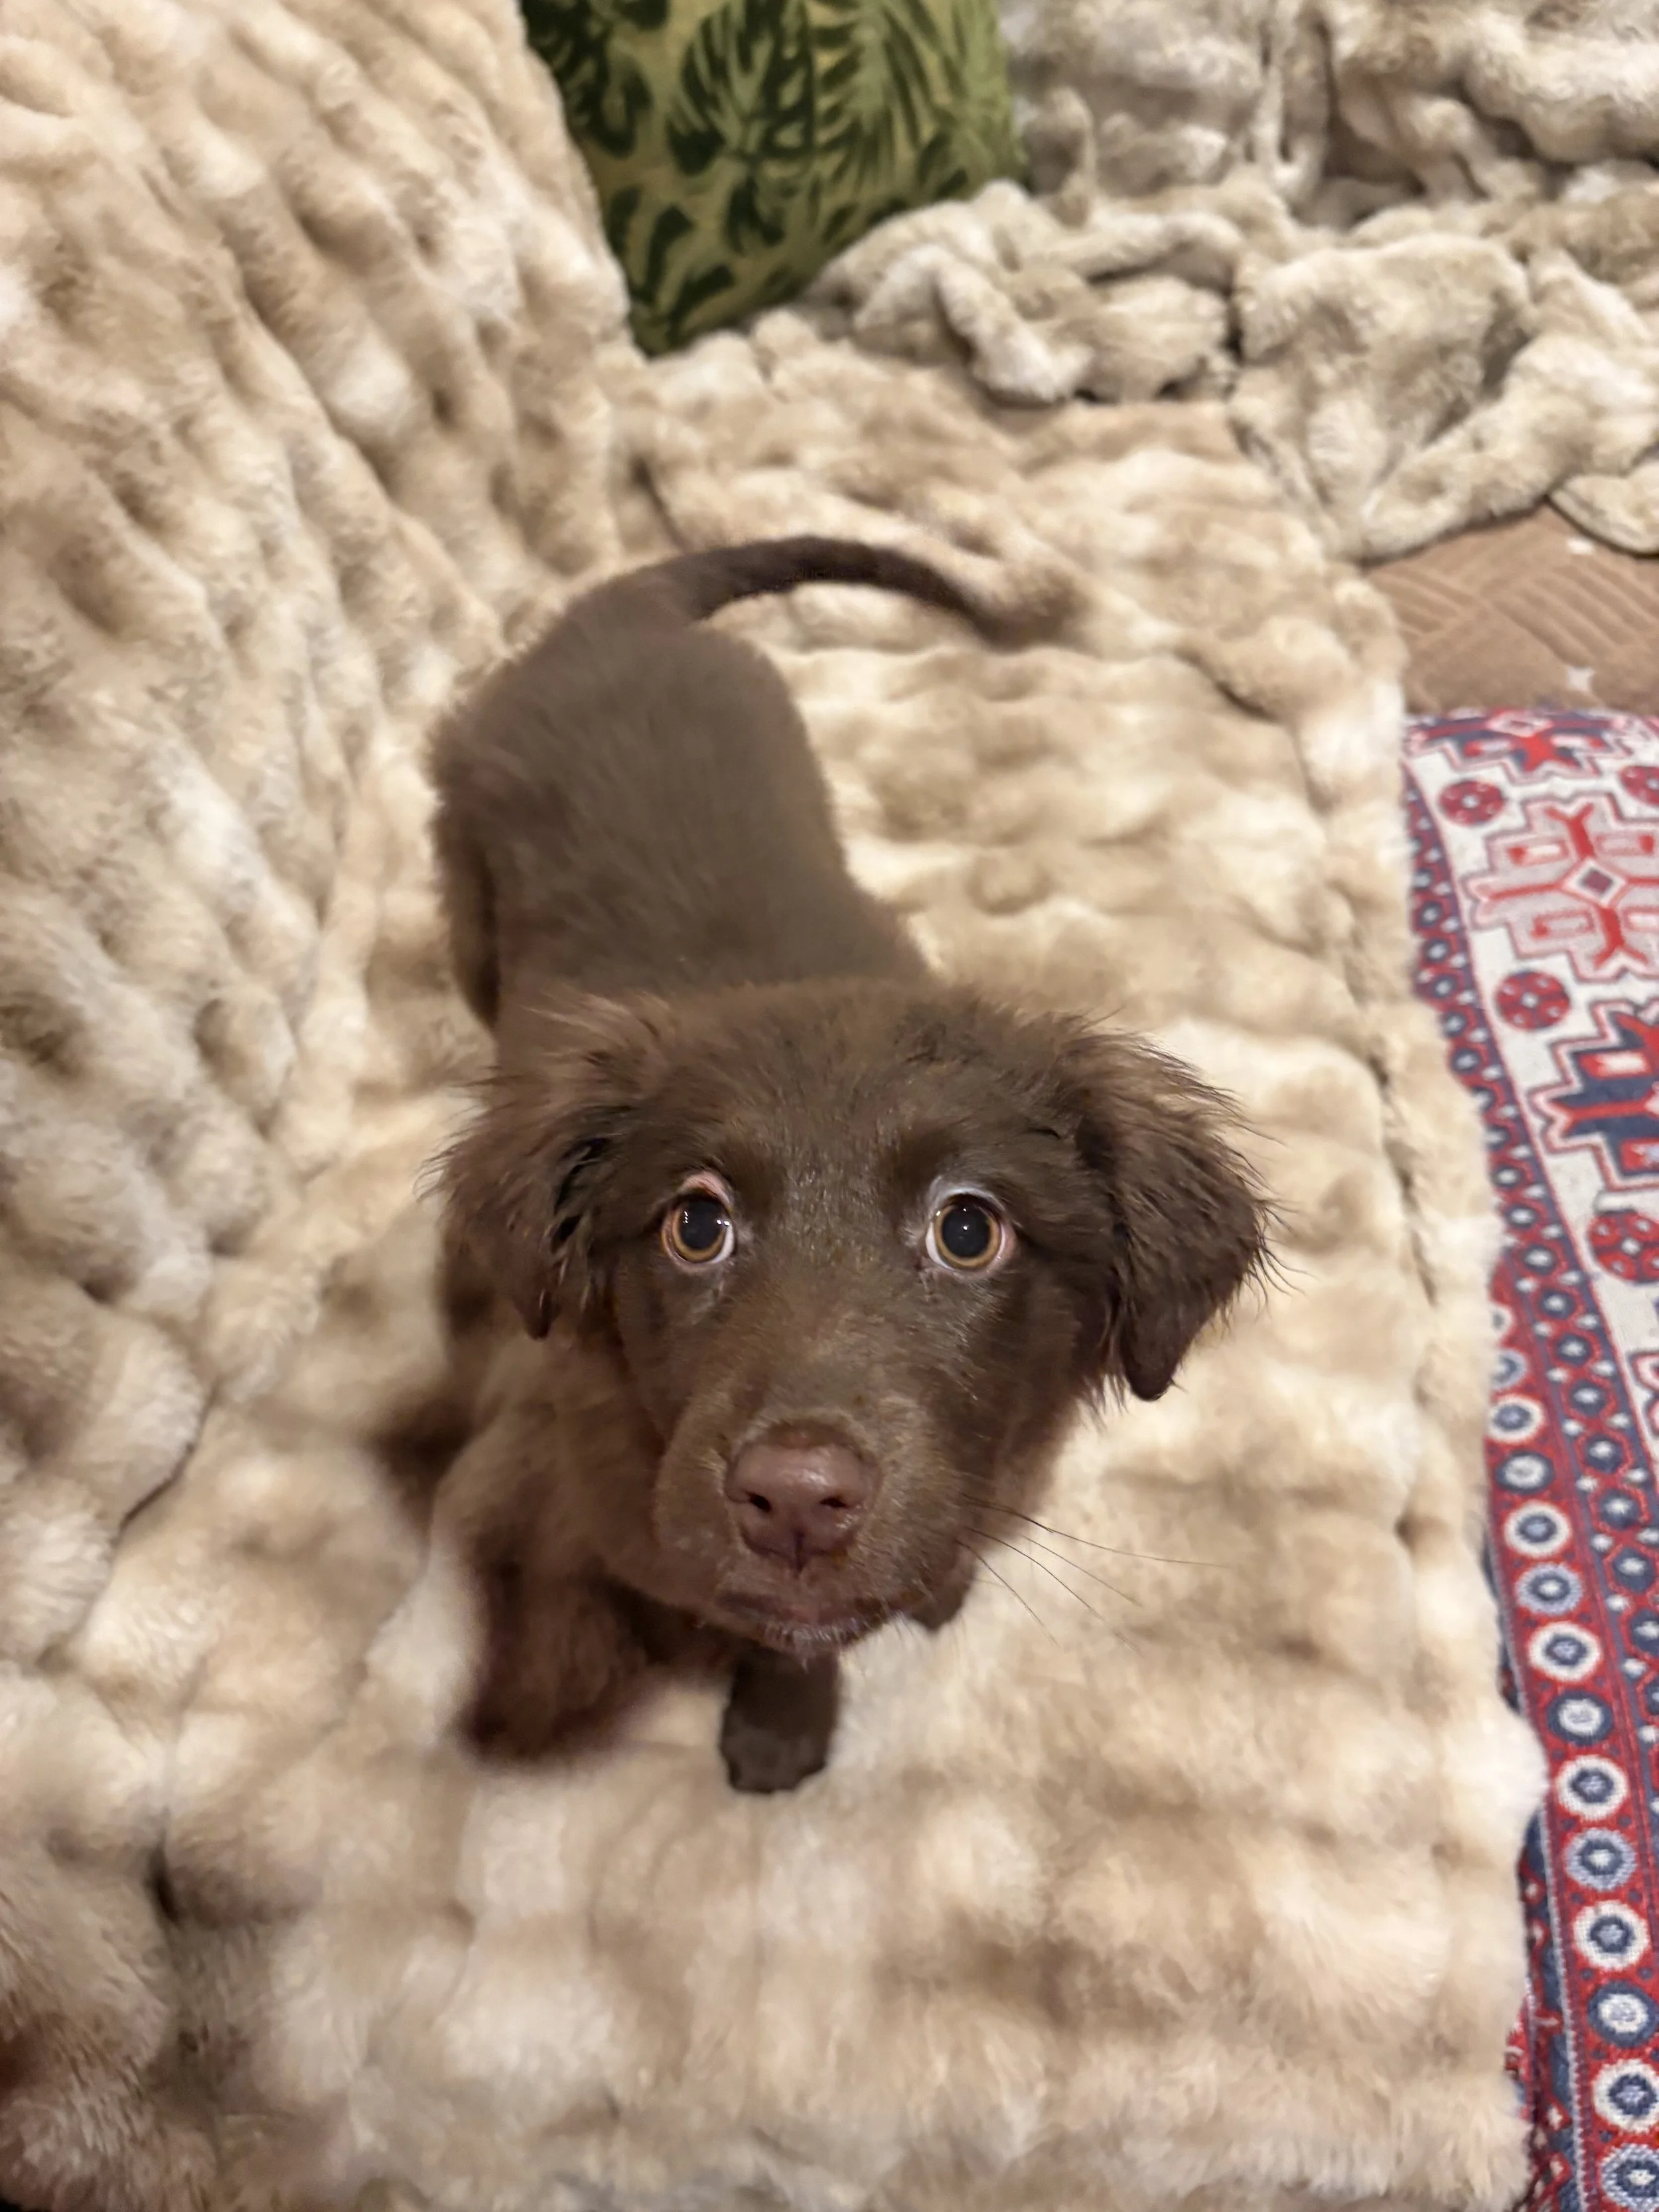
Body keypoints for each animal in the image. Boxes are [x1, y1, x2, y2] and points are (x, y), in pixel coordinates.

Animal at [432, 537, 1267, 1792]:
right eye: (696, 1223)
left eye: (969, 1228)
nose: (795, 1501)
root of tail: (621, 611)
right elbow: (784, 1628)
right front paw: (785, 1726)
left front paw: (936, 1586)